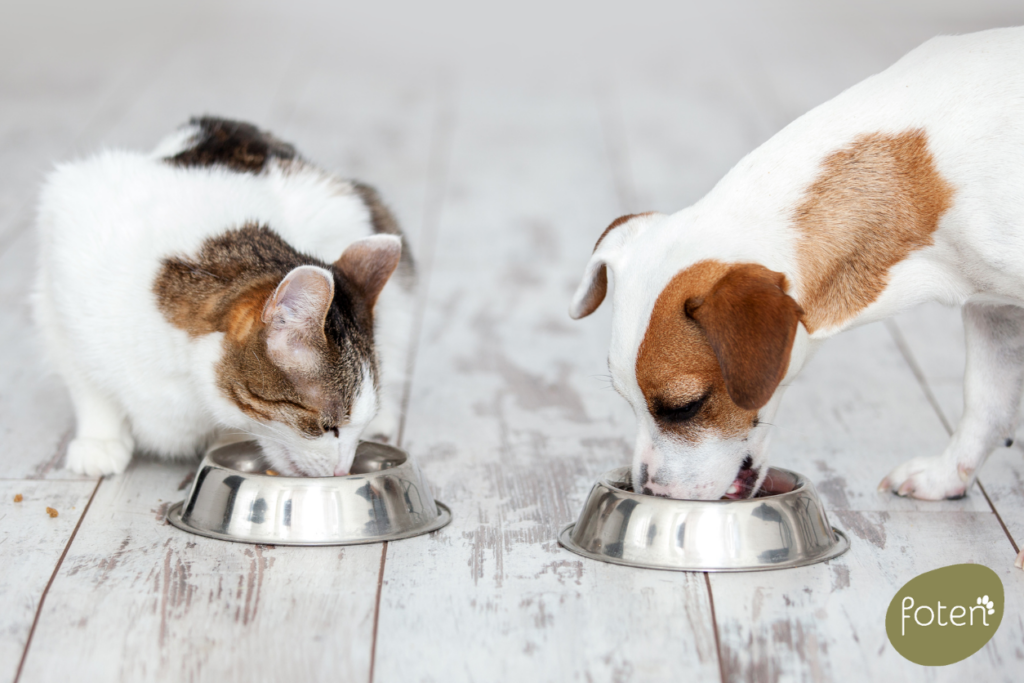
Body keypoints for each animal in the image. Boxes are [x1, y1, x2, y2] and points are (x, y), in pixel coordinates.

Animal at [34, 117, 413, 479]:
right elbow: (86, 381)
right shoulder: (60, 272)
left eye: (354, 427)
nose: (342, 470)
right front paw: (99, 438)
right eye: (328, 426)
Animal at [569, 26, 1024, 569]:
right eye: (626, 400)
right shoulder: (992, 309)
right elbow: (986, 400)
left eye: (685, 407)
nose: (650, 493)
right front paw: (946, 473)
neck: (924, 171)